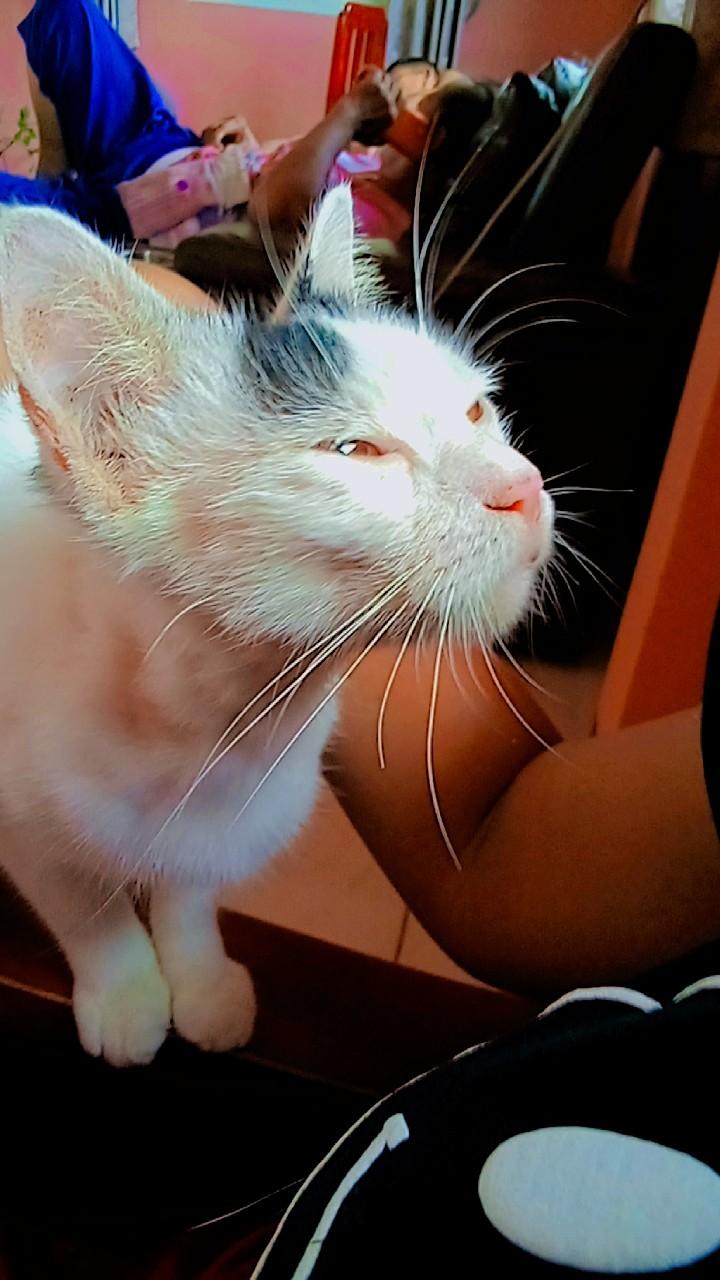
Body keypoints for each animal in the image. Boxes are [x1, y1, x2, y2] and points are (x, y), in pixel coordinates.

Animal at [0, 185, 553, 1066]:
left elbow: (190, 887)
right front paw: (125, 992)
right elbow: (80, 903)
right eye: (354, 451)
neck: (216, 720)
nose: (524, 486)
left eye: (477, 410)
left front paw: (199, 977)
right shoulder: (20, 819)